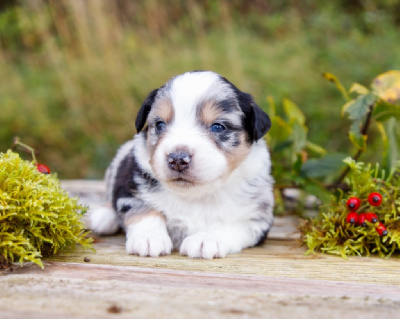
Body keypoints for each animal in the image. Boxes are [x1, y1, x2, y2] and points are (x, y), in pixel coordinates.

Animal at [89, 70, 274, 260]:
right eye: (160, 124)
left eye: (218, 127)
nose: (177, 159)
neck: (195, 196)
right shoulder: (130, 183)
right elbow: (142, 209)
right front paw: (149, 237)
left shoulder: (257, 218)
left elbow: (231, 226)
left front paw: (206, 239)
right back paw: (105, 216)